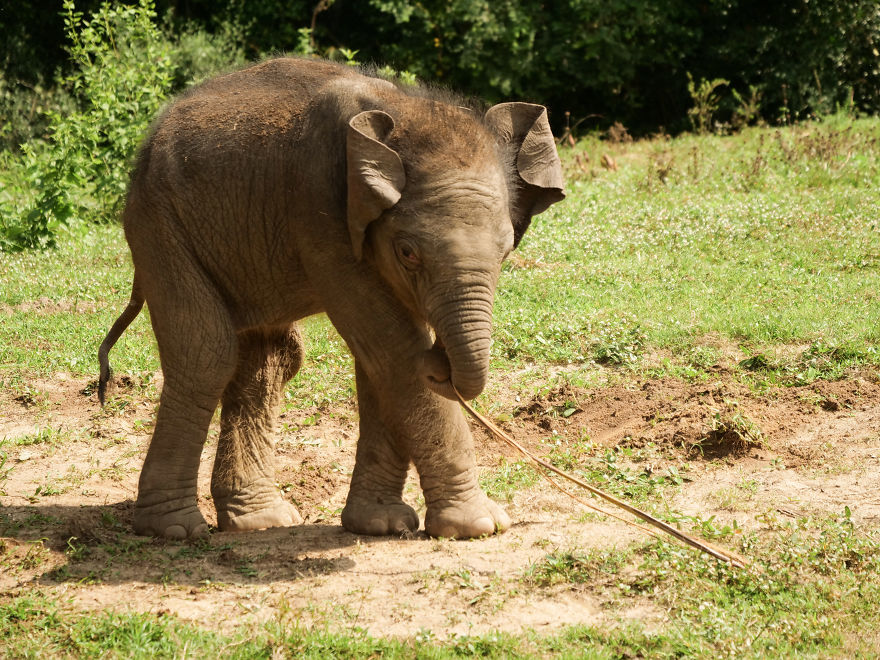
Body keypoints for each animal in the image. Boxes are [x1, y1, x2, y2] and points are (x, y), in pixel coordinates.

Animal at [98, 57, 565, 541]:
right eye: (408, 252)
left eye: (506, 250)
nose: (442, 365)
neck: (406, 110)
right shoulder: (322, 215)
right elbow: (395, 350)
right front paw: (479, 526)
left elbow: (379, 362)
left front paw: (379, 525)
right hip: (159, 226)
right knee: (206, 355)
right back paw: (174, 529)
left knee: (268, 361)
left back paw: (260, 520)